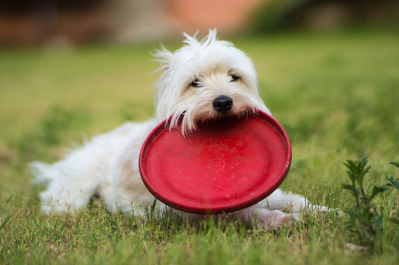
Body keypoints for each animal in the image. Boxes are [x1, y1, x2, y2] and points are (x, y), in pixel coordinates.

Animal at [31, 28, 328, 227]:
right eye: (194, 83)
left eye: (234, 77)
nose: (223, 101)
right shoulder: (192, 213)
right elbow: (248, 213)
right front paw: (283, 220)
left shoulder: (266, 193)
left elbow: (293, 200)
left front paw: (325, 211)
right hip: (78, 184)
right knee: (61, 201)